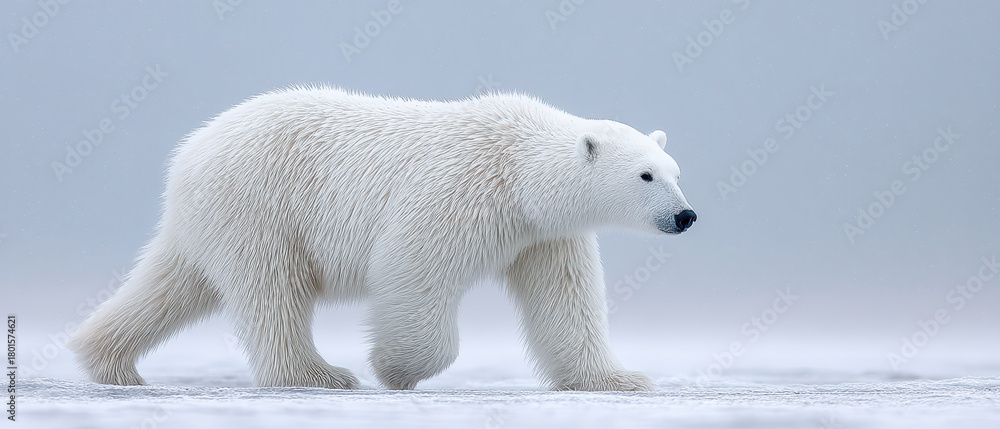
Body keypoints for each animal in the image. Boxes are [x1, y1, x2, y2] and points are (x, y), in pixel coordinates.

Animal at [68, 87, 696, 391]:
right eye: (646, 175)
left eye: (675, 171)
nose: (686, 216)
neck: (517, 167)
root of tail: (190, 155)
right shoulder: (459, 193)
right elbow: (413, 270)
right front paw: (396, 370)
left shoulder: (541, 234)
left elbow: (565, 302)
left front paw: (621, 380)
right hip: (263, 206)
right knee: (273, 290)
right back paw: (318, 375)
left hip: (212, 221)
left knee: (172, 285)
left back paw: (107, 360)